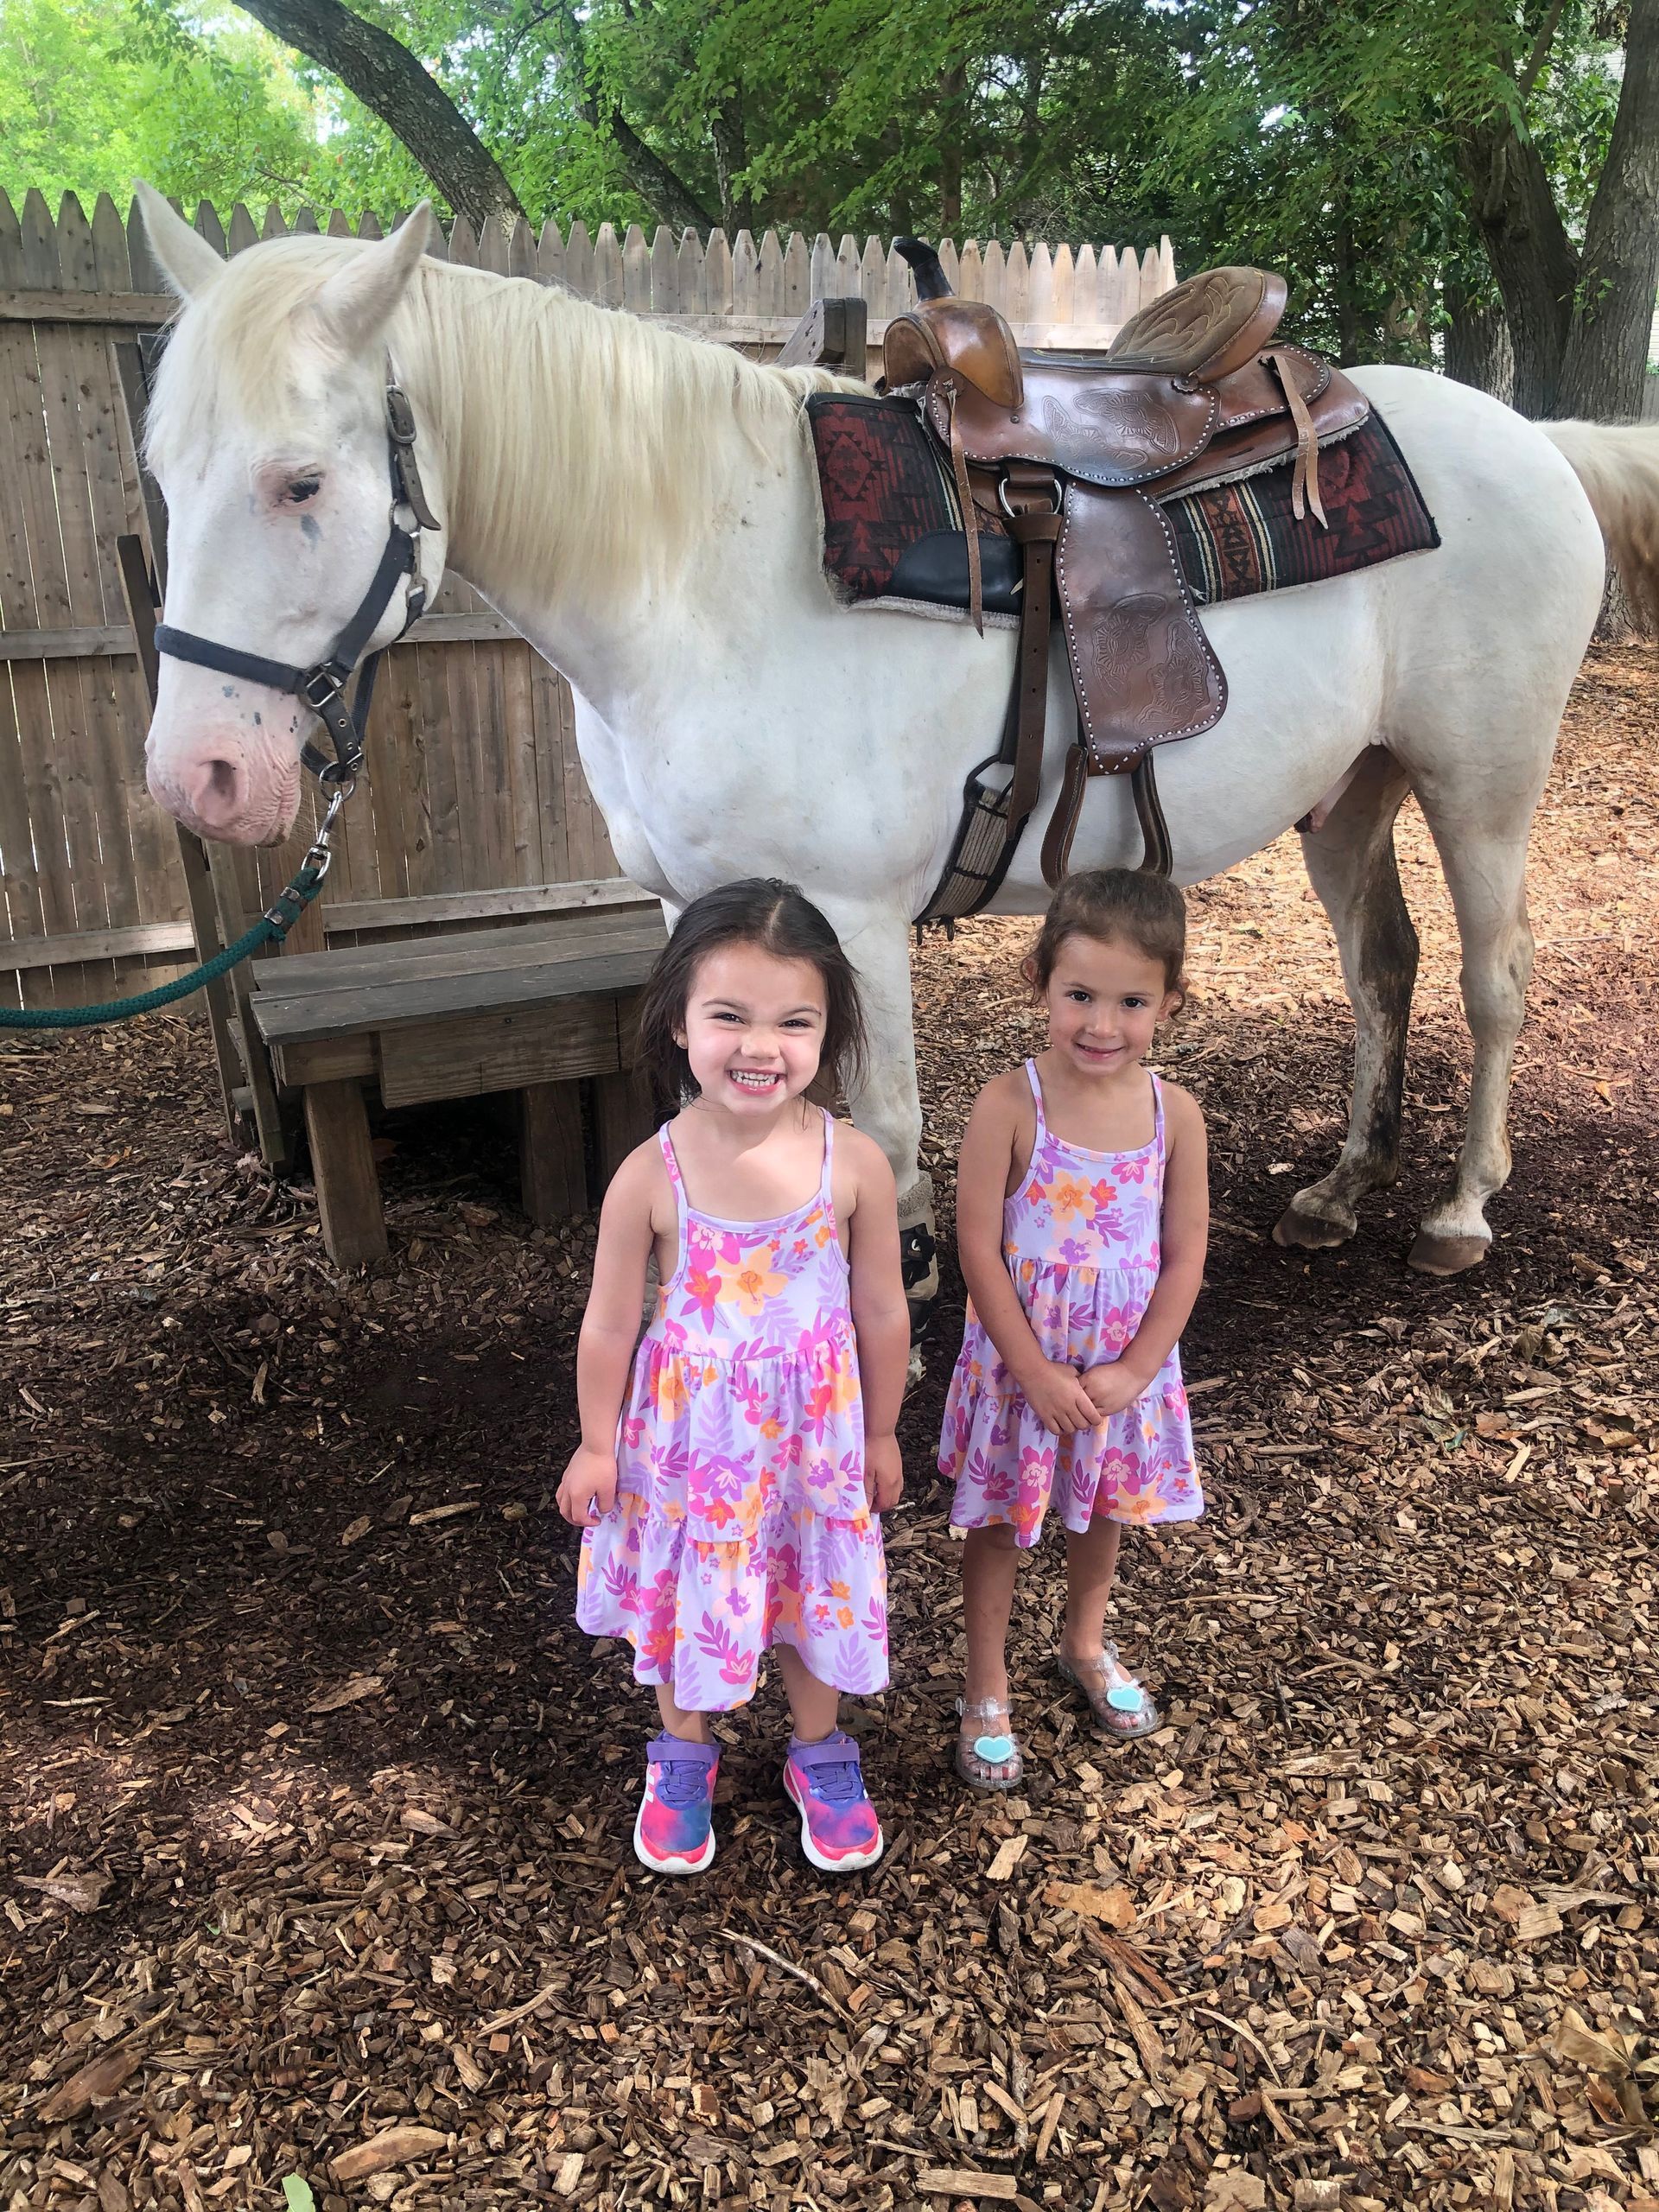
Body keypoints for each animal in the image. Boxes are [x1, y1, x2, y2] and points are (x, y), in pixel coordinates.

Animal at [137, 192, 1654, 1292]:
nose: (197, 775)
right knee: (1382, 967)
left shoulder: (854, 915)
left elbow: (877, 1131)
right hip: (1350, 791)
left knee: (1497, 980)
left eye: (302, 482)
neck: (703, 578)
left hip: (1482, 782)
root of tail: (1534, 437)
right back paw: (1342, 1191)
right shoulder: (696, 908)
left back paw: (1462, 1212)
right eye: (161, 473)